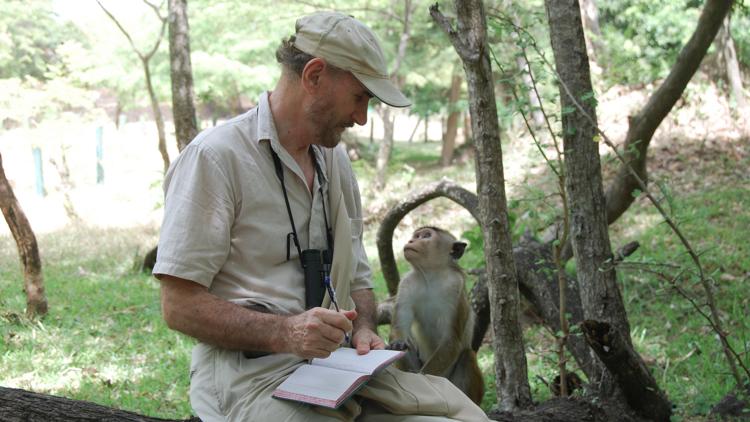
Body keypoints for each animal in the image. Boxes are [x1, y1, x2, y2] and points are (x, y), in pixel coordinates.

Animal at [388, 226, 488, 404]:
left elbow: (451, 341)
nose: (411, 241)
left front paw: (423, 381)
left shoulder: (455, 287)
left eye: (426, 236)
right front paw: (397, 344)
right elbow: (400, 330)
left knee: (467, 355)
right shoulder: (406, 284)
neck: (430, 275)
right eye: (416, 236)